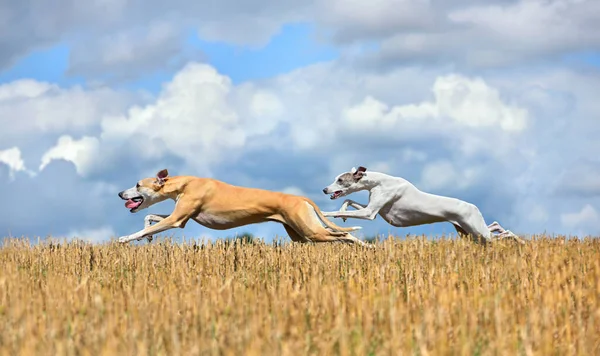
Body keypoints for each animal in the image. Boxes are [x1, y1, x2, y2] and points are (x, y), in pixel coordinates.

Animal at [116, 168, 368, 246]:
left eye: (137, 184)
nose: (120, 193)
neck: (185, 183)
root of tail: (302, 198)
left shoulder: (176, 219)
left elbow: (145, 226)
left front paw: (126, 238)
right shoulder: (182, 219)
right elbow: (150, 217)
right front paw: (147, 237)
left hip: (311, 231)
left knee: (344, 235)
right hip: (300, 234)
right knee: (343, 235)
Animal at [322, 167, 524, 245]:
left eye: (340, 180)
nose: (324, 189)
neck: (378, 182)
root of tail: (474, 207)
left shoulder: (369, 213)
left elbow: (333, 210)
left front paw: (325, 215)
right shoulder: (374, 210)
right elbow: (347, 201)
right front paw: (343, 214)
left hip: (478, 232)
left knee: (505, 233)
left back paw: (520, 241)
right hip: (470, 232)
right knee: (496, 226)